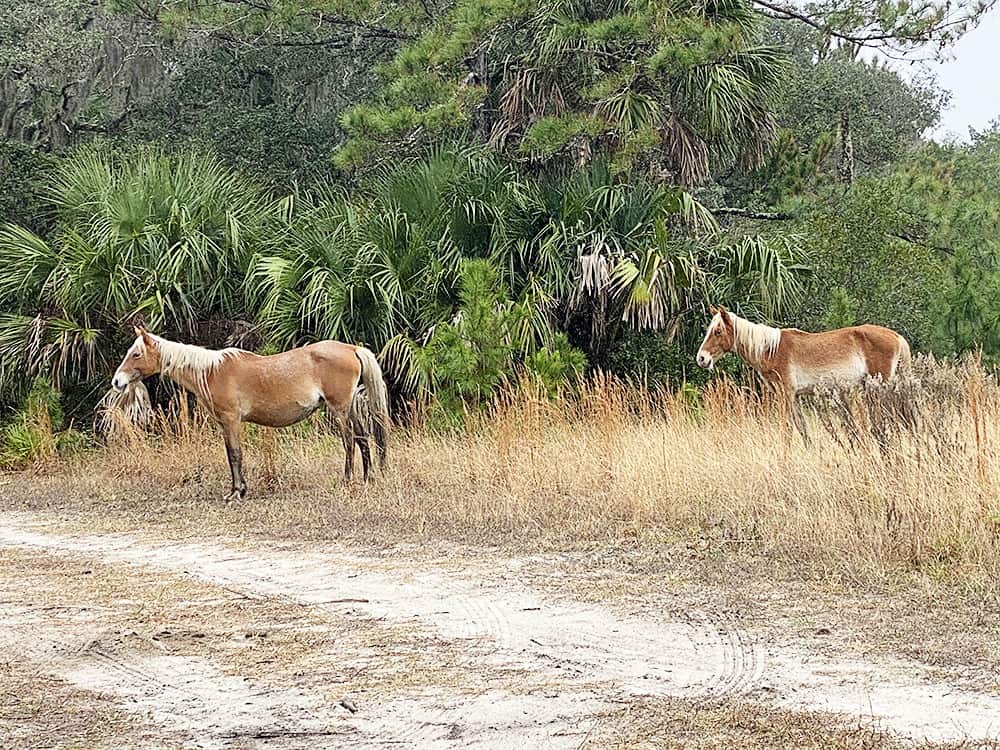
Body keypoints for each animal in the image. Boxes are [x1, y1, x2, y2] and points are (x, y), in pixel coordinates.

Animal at [112, 328, 386, 500]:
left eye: (136, 354)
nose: (117, 381)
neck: (211, 371)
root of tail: (352, 348)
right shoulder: (224, 423)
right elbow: (229, 454)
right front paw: (236, 489)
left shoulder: (232, 420)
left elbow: (235, 454)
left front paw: (238, 492)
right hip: (350, 408)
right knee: (363, 439)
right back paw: (368, 478)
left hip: (339, 409)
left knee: (349, 441)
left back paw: (347, 480)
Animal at [700, 306, 912, 440]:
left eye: (717, 331)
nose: (701, 358)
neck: (771, 349)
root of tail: (897, 336)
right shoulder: (794, 397)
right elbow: (802, 428)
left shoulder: (785, 394)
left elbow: (787, 428)